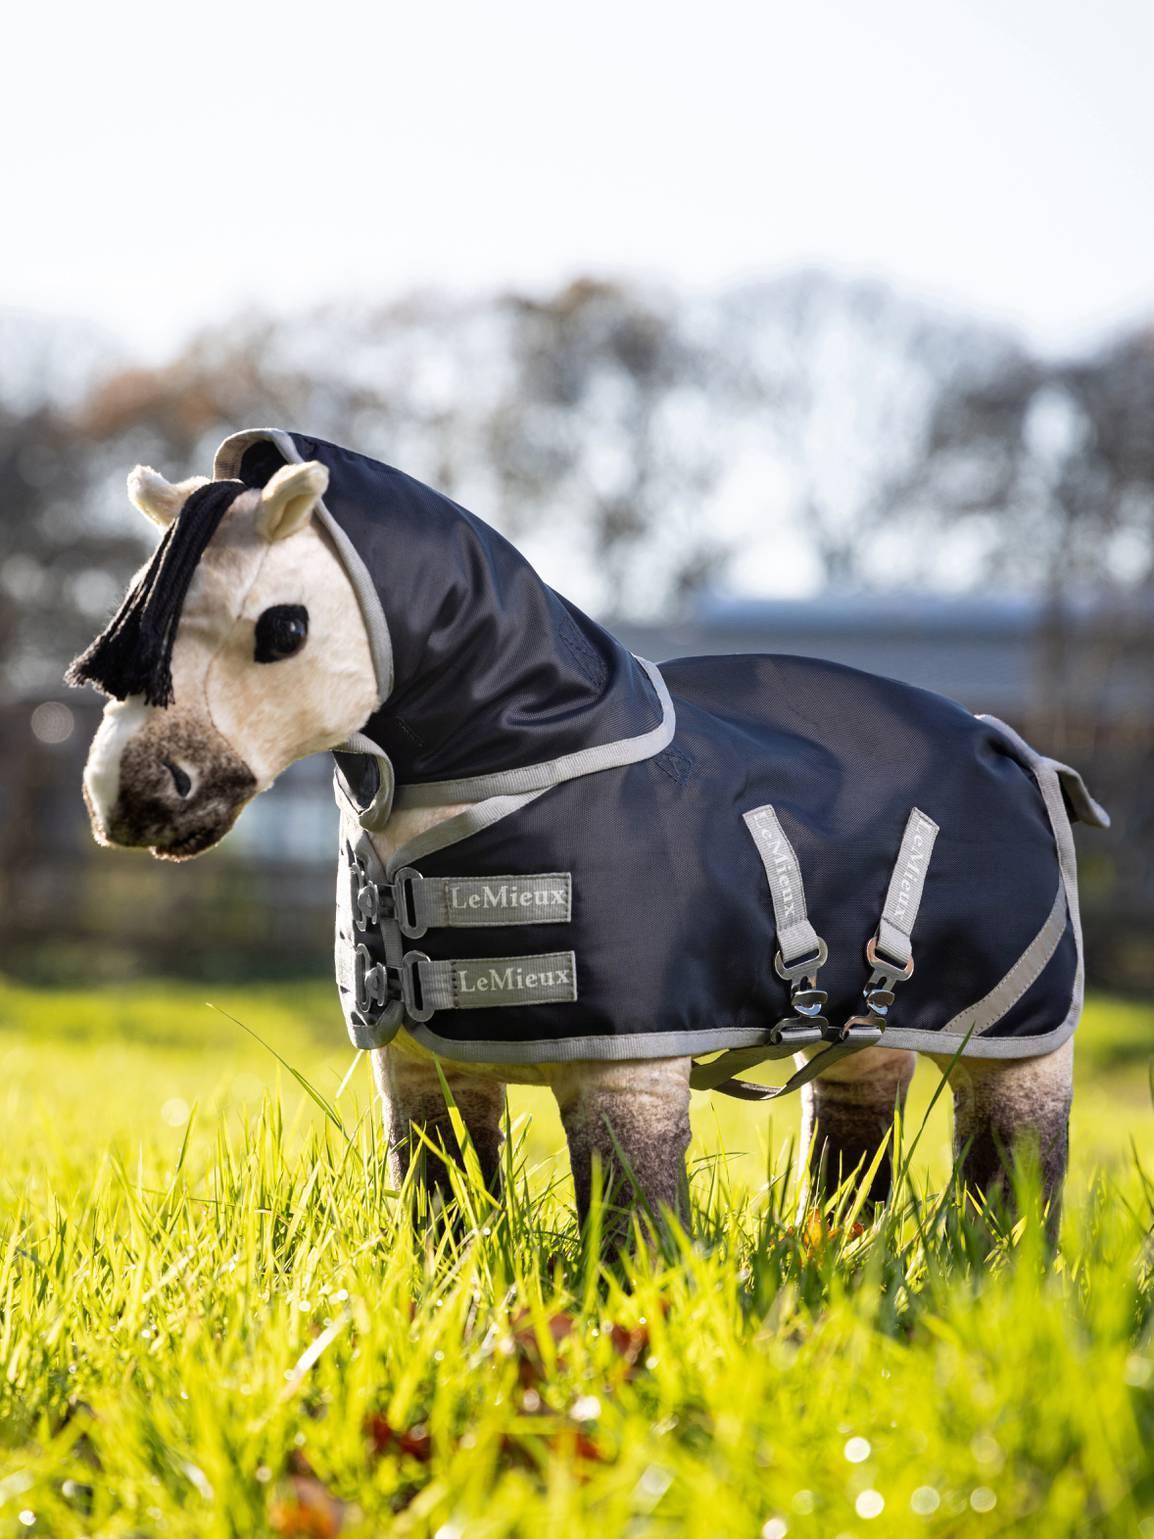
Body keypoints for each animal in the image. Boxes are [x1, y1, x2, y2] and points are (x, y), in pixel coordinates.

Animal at [70, 429, 1108, 1236]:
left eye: (283, 628)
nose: (130, 797)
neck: (529, 763)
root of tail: (1012, 746)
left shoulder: (629, 1073)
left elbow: (630, 1226)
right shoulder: (422, 1067)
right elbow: (443, 1209)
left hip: (1016, 1042)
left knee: (1016, 1171)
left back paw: (996, 1275)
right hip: (868, 1036)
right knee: (854, 1149)